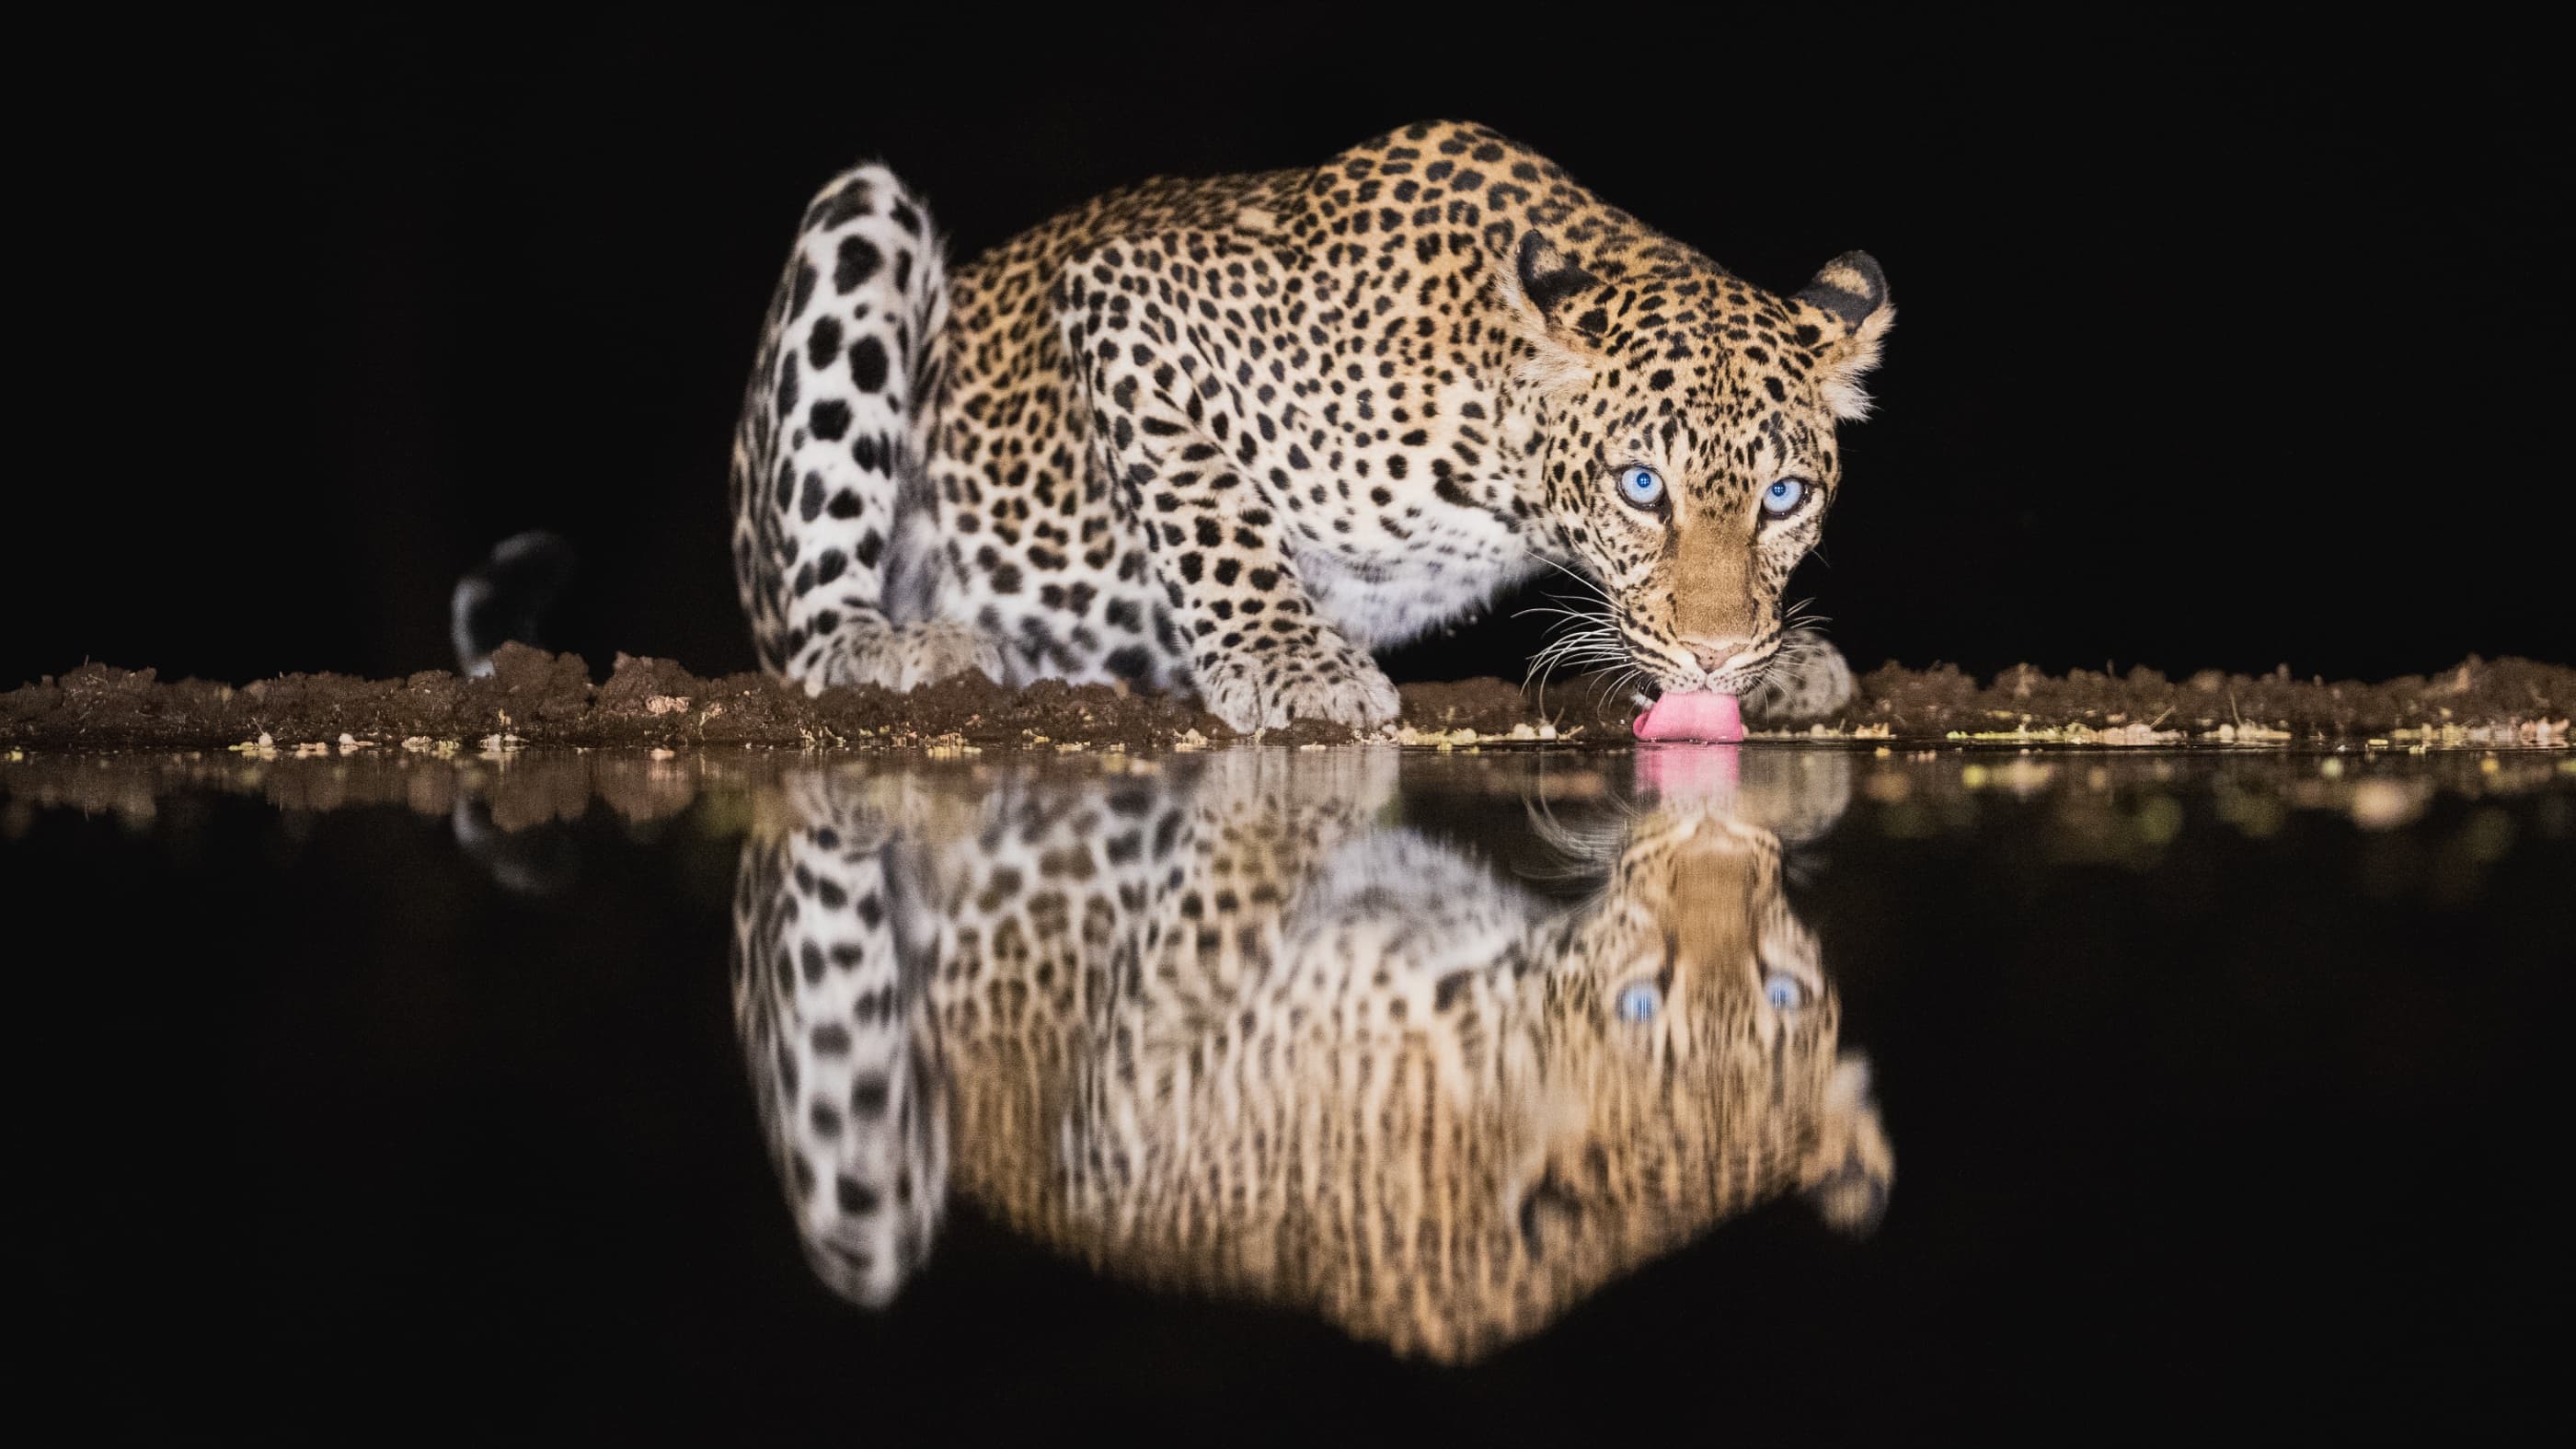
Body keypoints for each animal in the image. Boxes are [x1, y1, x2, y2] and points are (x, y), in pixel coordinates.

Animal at [726, 120, 1890, 733]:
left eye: (1783, 497)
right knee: (808, 625)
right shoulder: (1129, 297)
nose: (1715, 654)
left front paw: (1780, 660)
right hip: (860, 224)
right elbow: (1213, 517)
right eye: (1642, 487)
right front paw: (1288, 661)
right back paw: (899, 645)